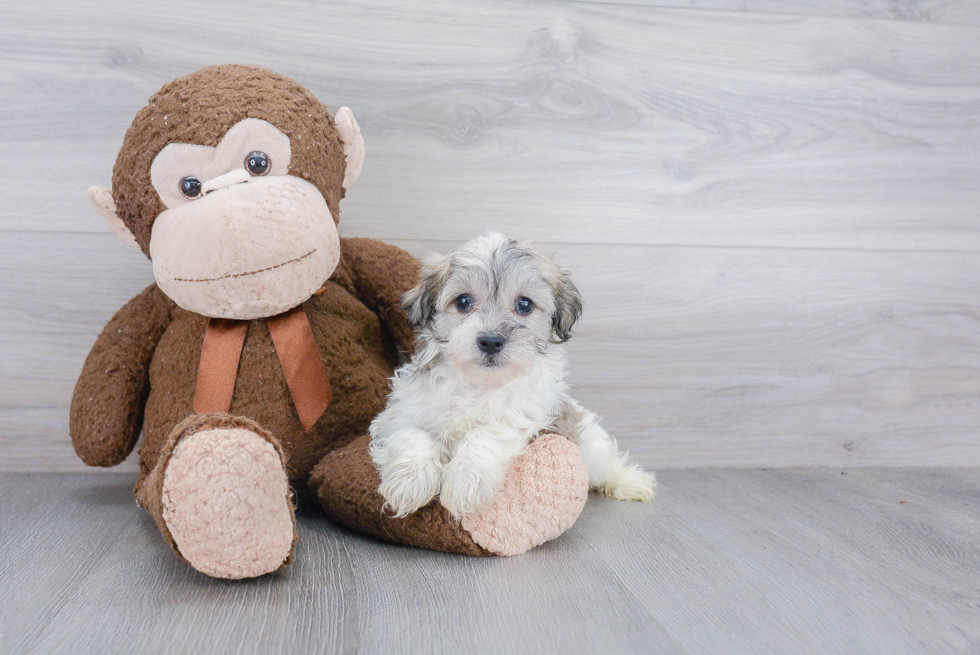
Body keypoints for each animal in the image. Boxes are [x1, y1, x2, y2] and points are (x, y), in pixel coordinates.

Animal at [372, 233, 656, 520]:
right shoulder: (400, 414)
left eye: (524, 304)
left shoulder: (523, 414)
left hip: (587, 440)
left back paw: (630, 481)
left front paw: (465, 482)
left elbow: (486, 435)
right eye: (463, 301)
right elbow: (412, 435)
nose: (490, 341)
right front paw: (409, 482)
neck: (480, 383)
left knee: (604, 461)